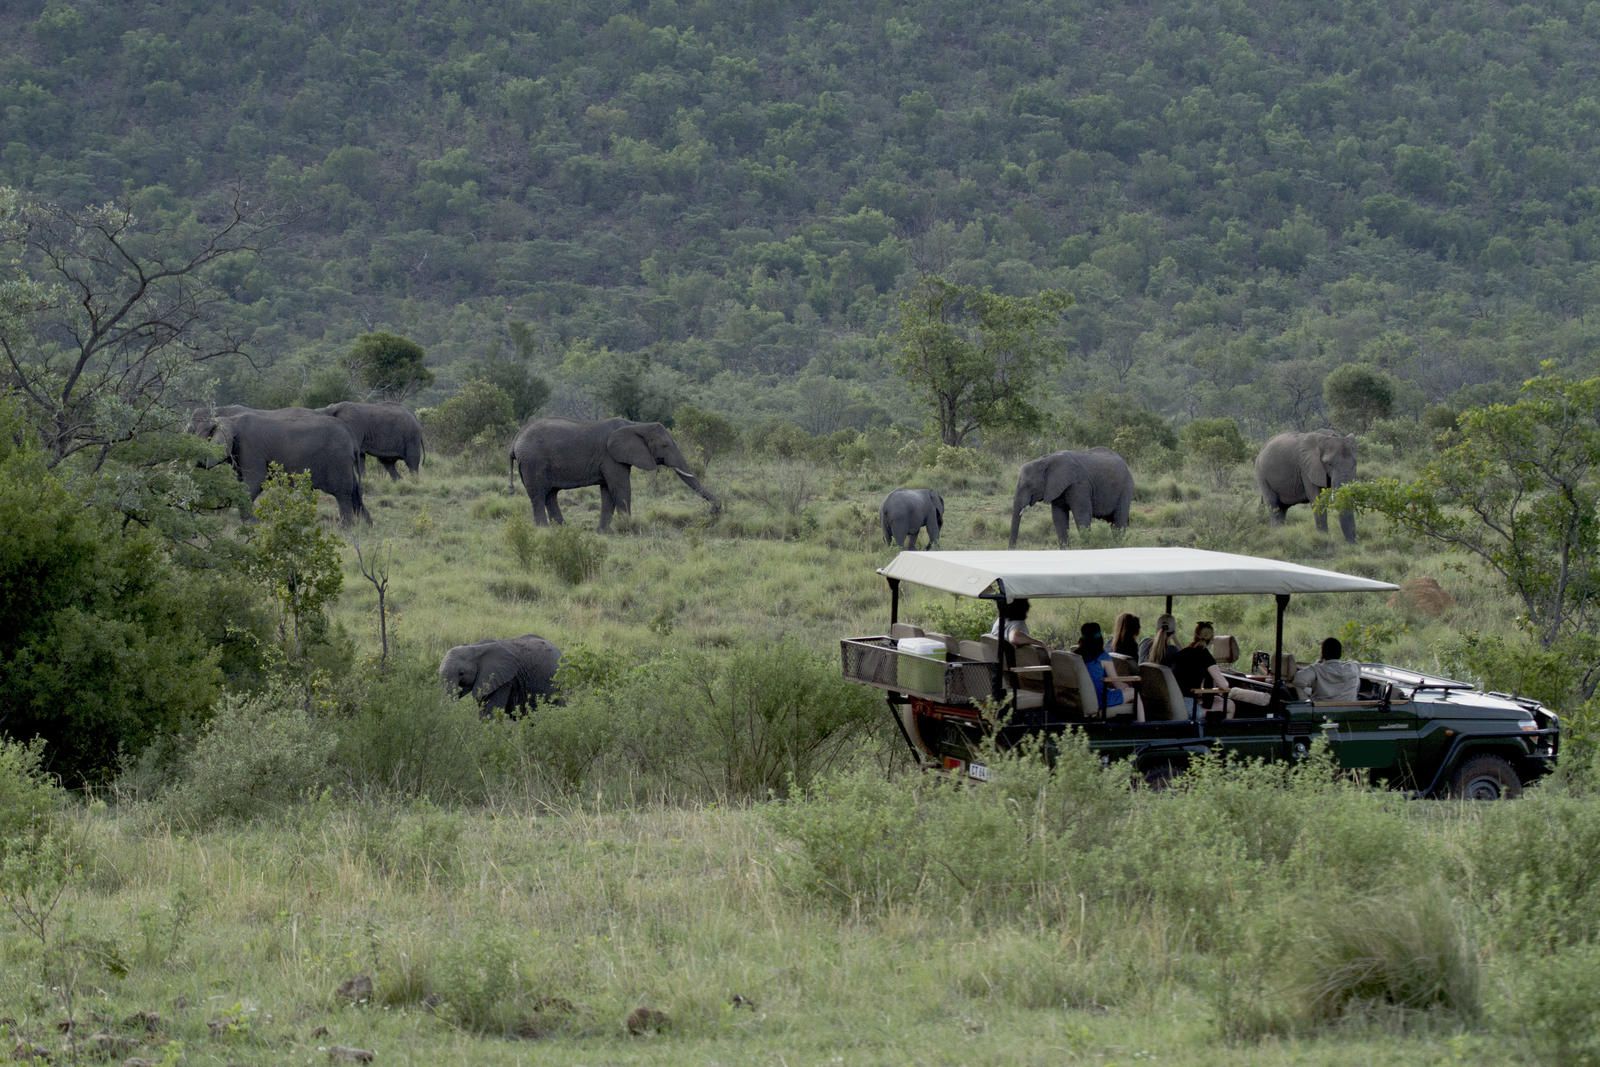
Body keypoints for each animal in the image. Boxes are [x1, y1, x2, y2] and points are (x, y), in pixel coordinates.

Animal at [201, 409, 369, 524]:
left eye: (205, 437)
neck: (231, 420)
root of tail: (351, 435)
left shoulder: (251, 449)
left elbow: (254, 482)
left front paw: (251, 524)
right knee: (355, 491)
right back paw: (366, 527)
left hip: (338, 460)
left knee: (343, 492)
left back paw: (346, 529)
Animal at [1004, 447, 1132, 550]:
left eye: (1029, 485)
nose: (1012, 549)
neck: (1045, 460)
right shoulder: (1056, 488)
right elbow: (1059, 517)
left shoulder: (1079, 485)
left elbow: (1082, 515)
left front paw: (1087, 547)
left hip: (1126, 488)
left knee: (1119, 520)